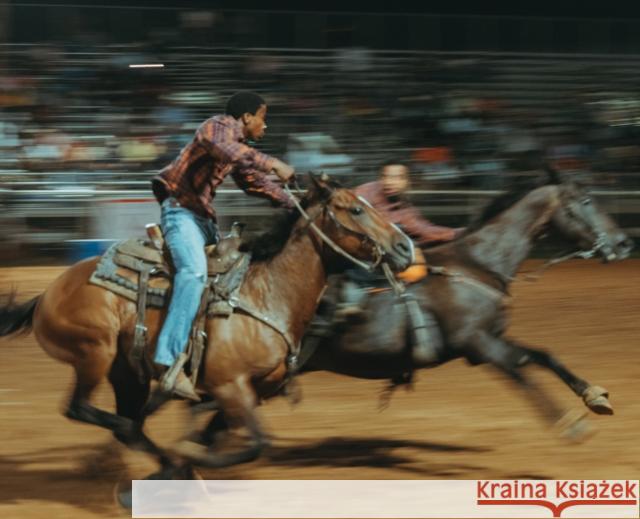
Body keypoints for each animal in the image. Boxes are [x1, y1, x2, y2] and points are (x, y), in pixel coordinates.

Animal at [0, 176, 412, 476]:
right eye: (356, 209)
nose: (405, 246)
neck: (267, 292)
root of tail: (48, 293)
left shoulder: (254, 390)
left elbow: (223, 435)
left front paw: (188, 456)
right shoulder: (230, 386)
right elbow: (255, 443)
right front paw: (192, 457)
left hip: (126, 370)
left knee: (127, 418)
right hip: (93, 354)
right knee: (85, 410)